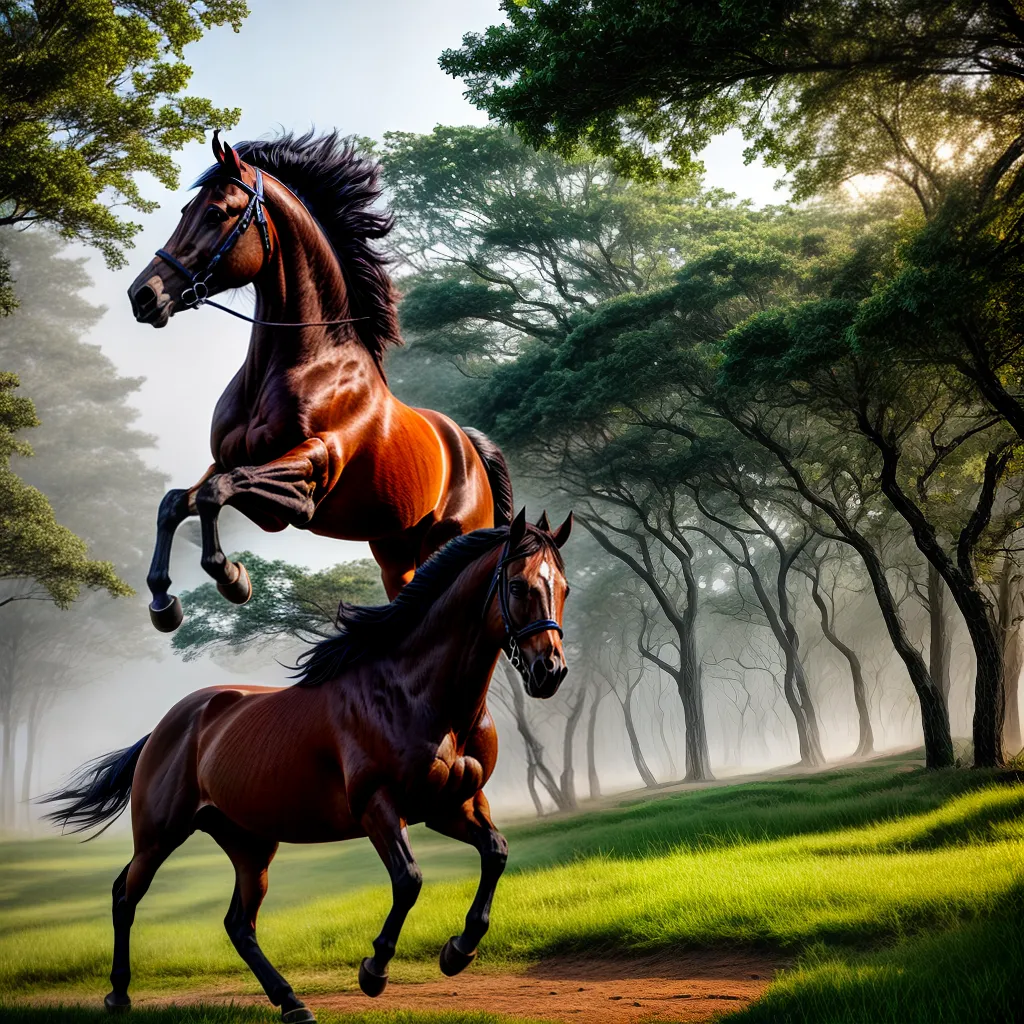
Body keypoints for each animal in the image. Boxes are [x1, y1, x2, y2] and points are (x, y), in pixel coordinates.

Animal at [43, 509, 572, 1022]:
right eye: (519, 585)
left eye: (564, 588)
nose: (550, 671)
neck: (415, 695)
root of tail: (164, 727)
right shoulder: (379, 807)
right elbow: (409, 880)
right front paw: (374, 970)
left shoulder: (452, 806)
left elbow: (496, 853)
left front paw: (458, 951)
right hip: (160, 836)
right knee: (125, 896)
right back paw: (119, 995)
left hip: (250, 844)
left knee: (238, 924)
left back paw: (292, 1003)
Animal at [127, 130, 513, 632]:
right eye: (184, 213)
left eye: (215, 213)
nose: (142, 296)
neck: (306, 360)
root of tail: (467, 445)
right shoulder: (228, 464)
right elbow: (176, 502)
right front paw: (163, 601)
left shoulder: (307, 479)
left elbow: (218, 492)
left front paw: (232, 578)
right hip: (394, 553)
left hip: (447, 540)